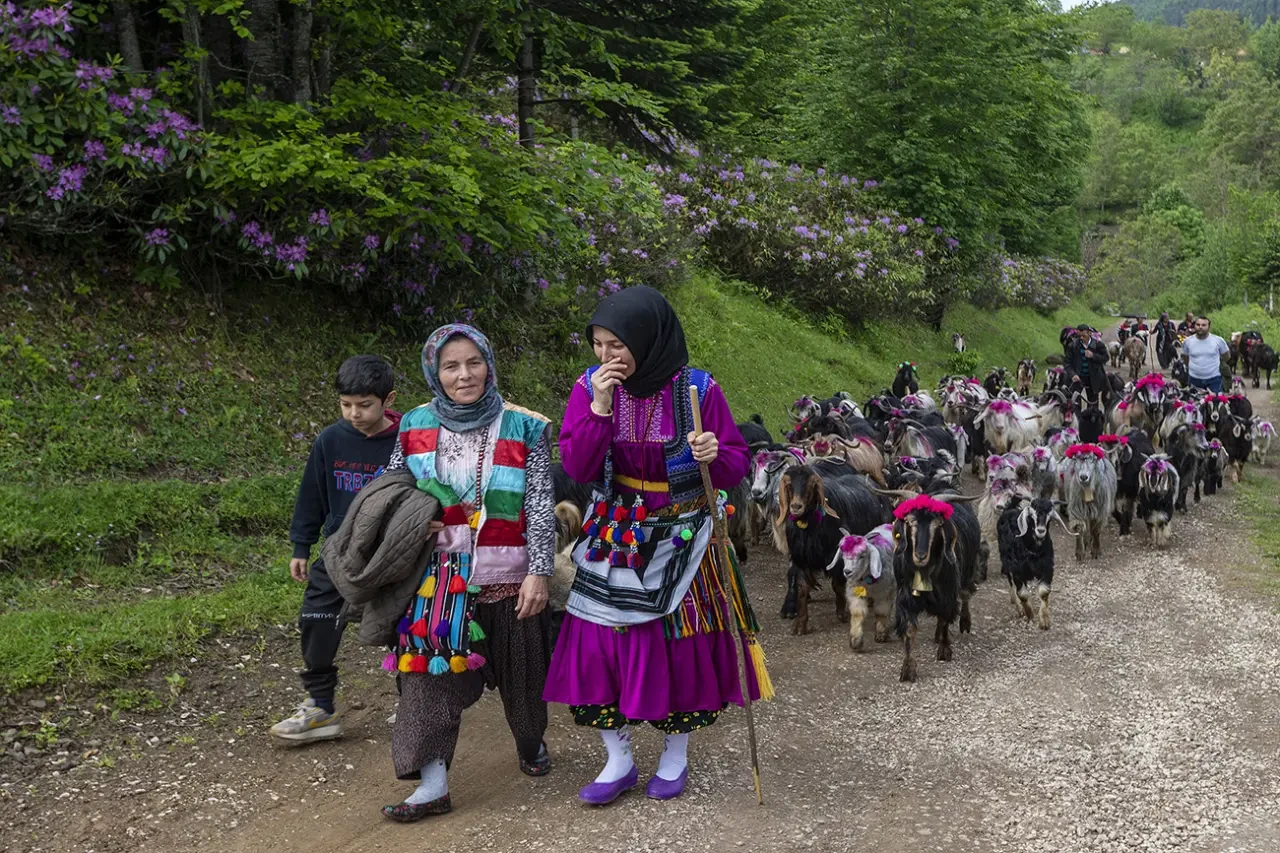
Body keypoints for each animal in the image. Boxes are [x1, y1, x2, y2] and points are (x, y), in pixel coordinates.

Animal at [773, 458, 896, 630]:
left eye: (810, 485)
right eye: (790, 485)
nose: (796, 506)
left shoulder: (836, 556)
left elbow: (837, 585)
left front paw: (841, 613)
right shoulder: (801, 558)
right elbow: (802, 588)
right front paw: (800, 624)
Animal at [998, 494, 1070, 627]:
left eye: (1049, 514)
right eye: (1032, 514)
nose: (1040, 530)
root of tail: (1010, 508)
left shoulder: (1047, 567)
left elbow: (1044, 592)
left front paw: (1045, 620)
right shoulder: (1016, 569)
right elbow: (1022, 593)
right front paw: (1029, 613)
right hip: (1006, 563)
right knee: (1012, 584)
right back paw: (1018, 607)